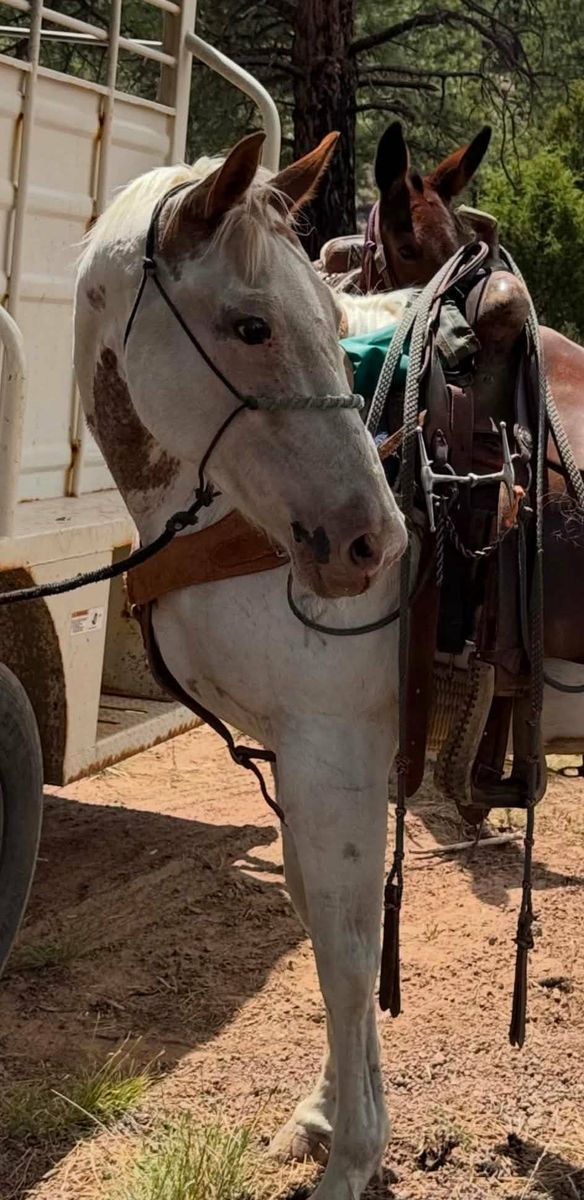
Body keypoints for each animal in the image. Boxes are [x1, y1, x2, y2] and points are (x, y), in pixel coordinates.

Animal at [74, 131, 419, 1200]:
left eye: (331, 321)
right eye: (252, 325)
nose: (372, 543)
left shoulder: (334, 748)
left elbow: (348, 954)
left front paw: (352, 1160)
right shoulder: (304, 756)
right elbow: (323, 923)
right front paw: (329, 1115)